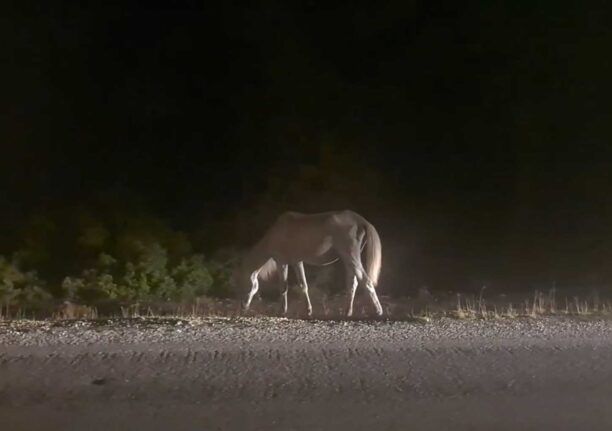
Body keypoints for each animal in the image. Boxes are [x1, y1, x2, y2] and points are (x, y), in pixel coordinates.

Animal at [233, 210, 382, 318]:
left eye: (242, 282)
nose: (242, 306)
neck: (274, 236)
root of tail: (361, 220)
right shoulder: (297, 261)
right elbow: (303, 285)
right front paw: (308, 310)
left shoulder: (282, 262)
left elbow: (283, 287)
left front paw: (282, 311)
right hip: (349, 259)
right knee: (352, 284)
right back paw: (348, 312)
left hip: (351, 256)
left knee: (367, 281)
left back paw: (378, 311)